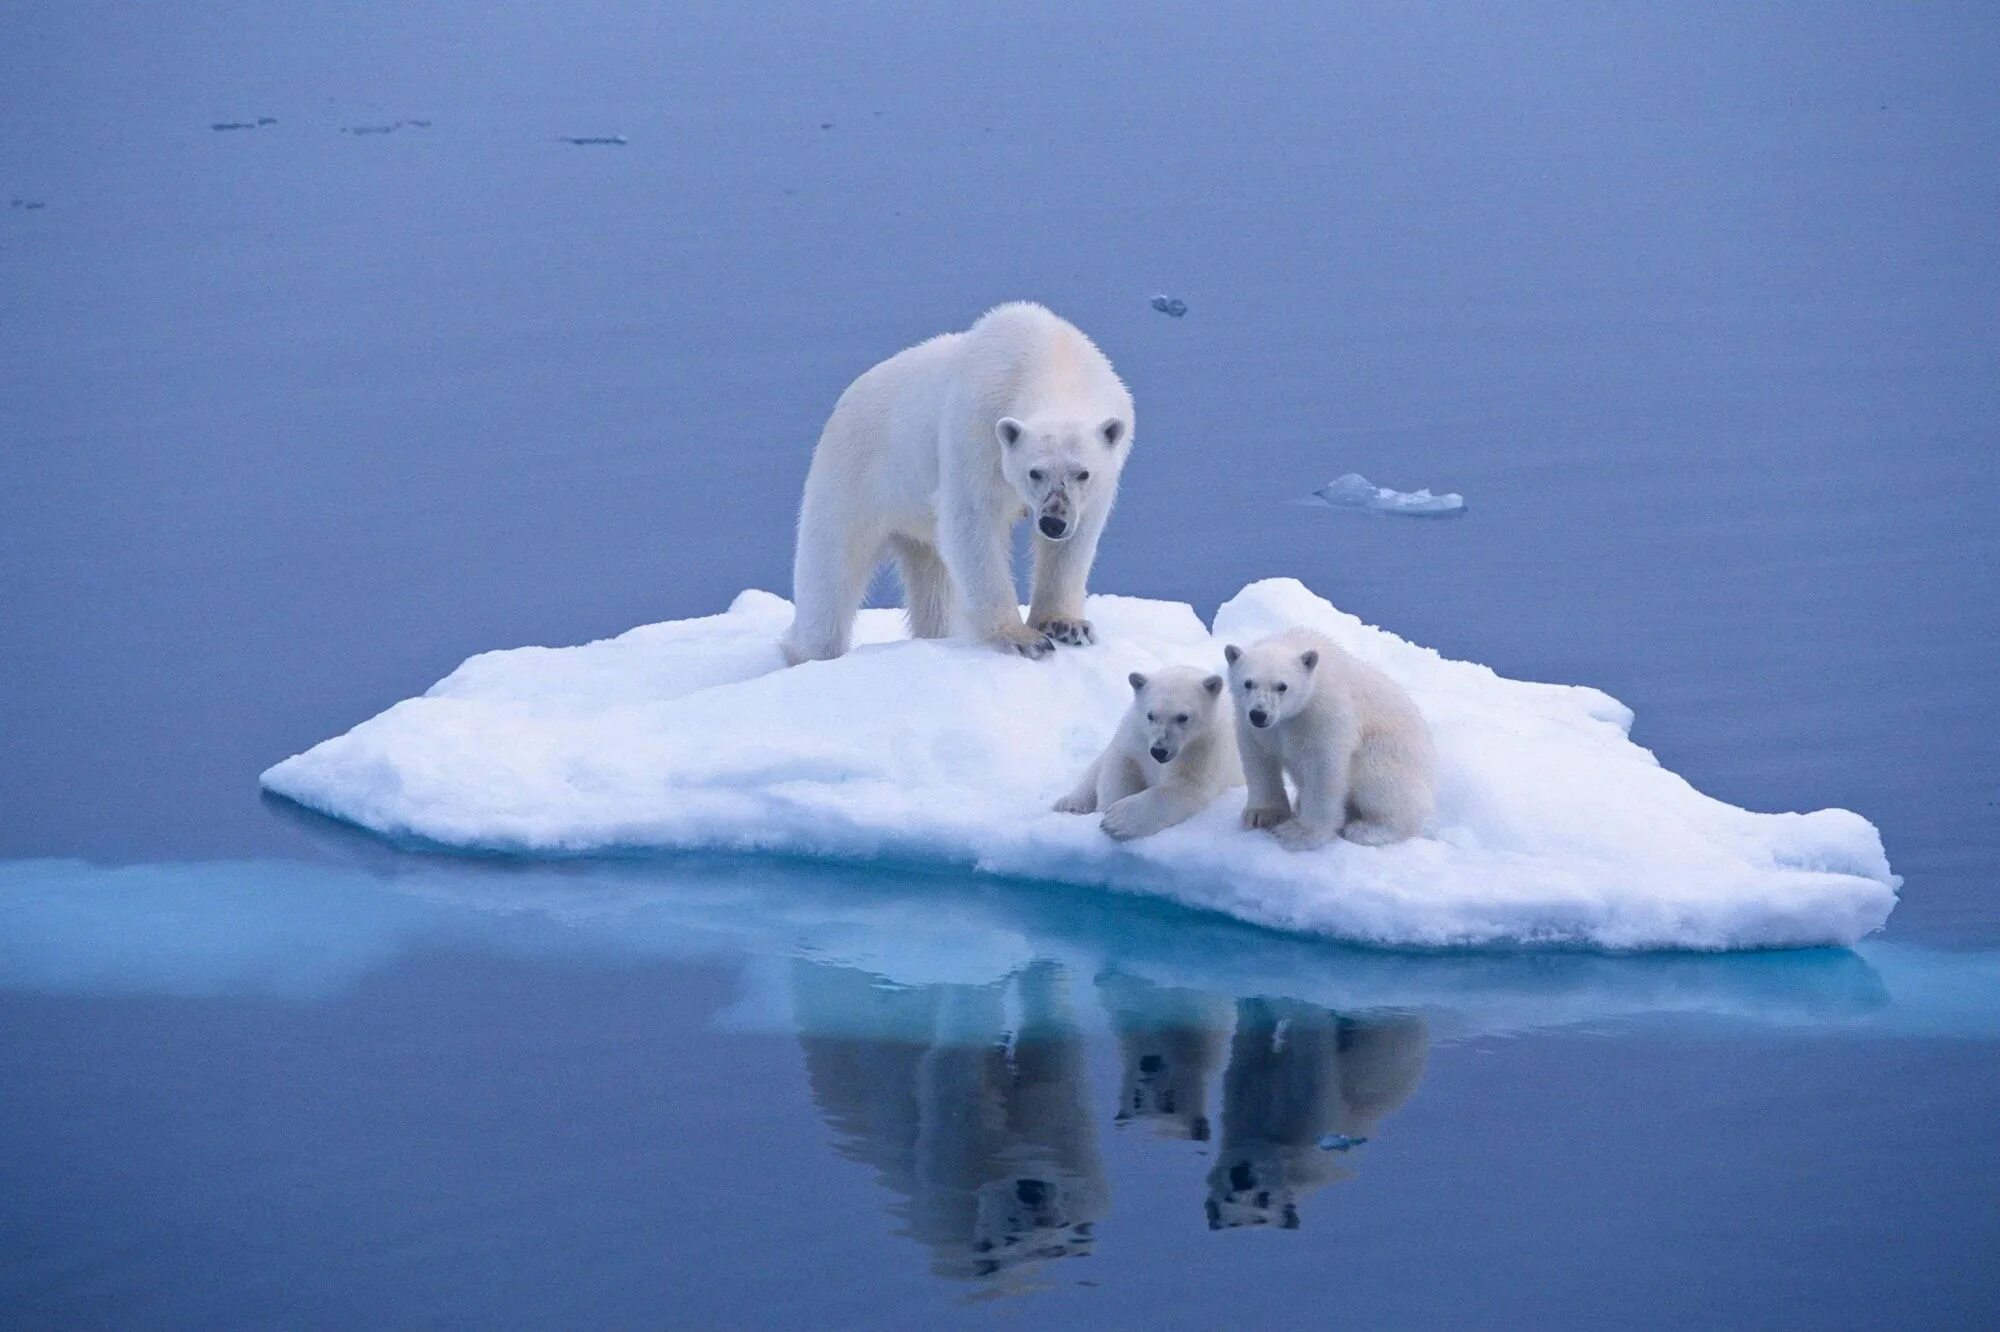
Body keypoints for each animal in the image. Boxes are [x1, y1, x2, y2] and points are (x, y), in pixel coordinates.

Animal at [776, 304, 1136, 660]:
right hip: (854, 475)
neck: (1053, 357)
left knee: (932, 581)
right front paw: (1022, 638)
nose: (1052, 522)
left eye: (1083, 473)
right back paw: (805, 650)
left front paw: (1067, 626)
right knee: (831, 571)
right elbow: (973, 521)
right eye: (1035, 472)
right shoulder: (978, 427)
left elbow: (1076, 541)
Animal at [1216, 624, 1440, 852]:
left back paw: (1367, 829)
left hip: (1390, 760)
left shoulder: (1323, 711)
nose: (1259, 714)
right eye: (1248, 683)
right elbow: (1258, 757)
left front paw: (1300, 834)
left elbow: (1322, 767)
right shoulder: (1251, 721)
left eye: (1282, 686)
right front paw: (1261, 815)